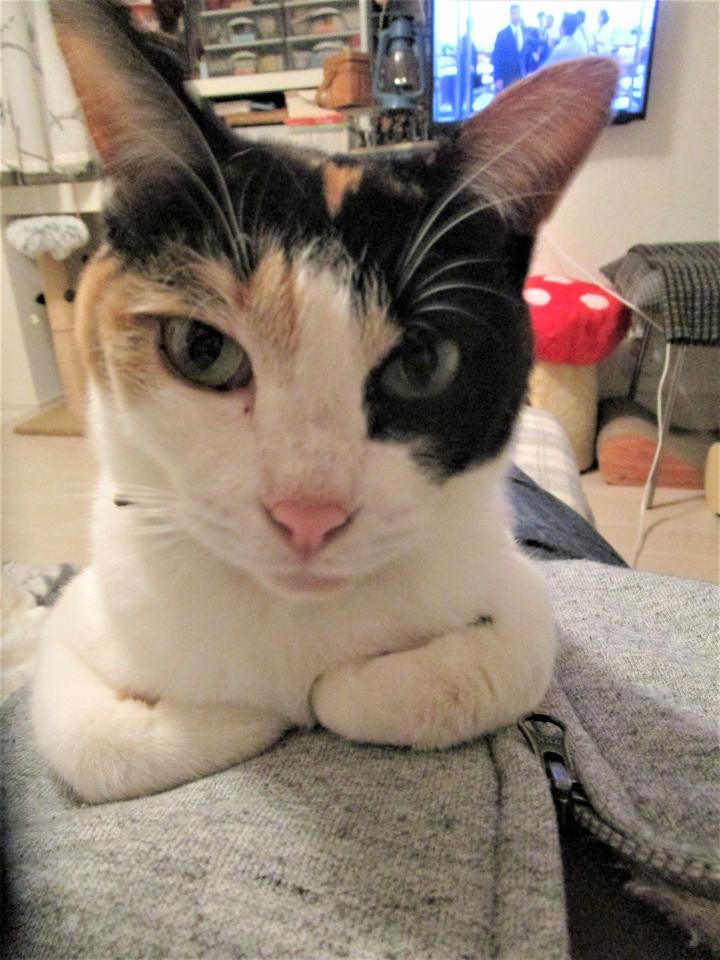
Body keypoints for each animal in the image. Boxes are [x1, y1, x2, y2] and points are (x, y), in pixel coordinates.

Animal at [32, 0, 618, 803]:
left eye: (422, 362)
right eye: (201, 349)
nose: (307, 516)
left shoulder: (515, 583)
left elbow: (514, 658)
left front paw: (337, 692)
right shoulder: (79, 616)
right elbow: (82, 739)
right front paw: (240, 714)